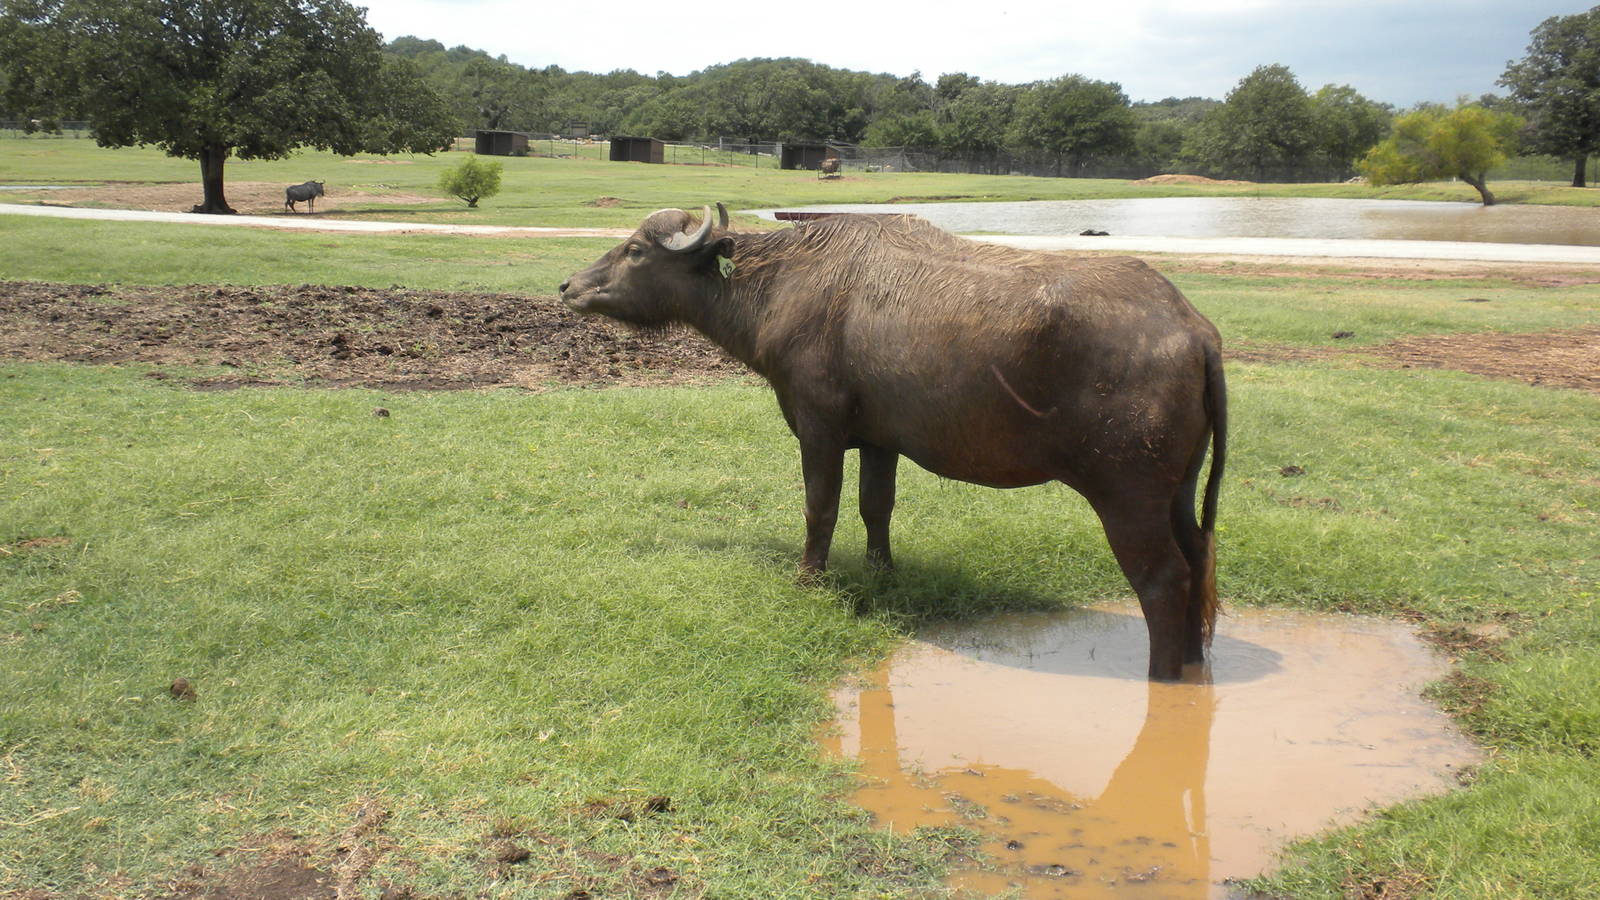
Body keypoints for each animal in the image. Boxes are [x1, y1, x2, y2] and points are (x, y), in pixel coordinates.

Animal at [560, 206, 1227, 680]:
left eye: (635, 249)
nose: (569, 286)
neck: (785, 283)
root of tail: (1194, 329)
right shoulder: (879, 440)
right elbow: (874, 507)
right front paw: (881, 572)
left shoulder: (819, 426)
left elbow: (821, 507)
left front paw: (810, 579)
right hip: (1178, 491)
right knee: (1198, 558)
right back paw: (1194, 661)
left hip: (1127, 496)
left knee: (1164, 578)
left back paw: (1162, 675)